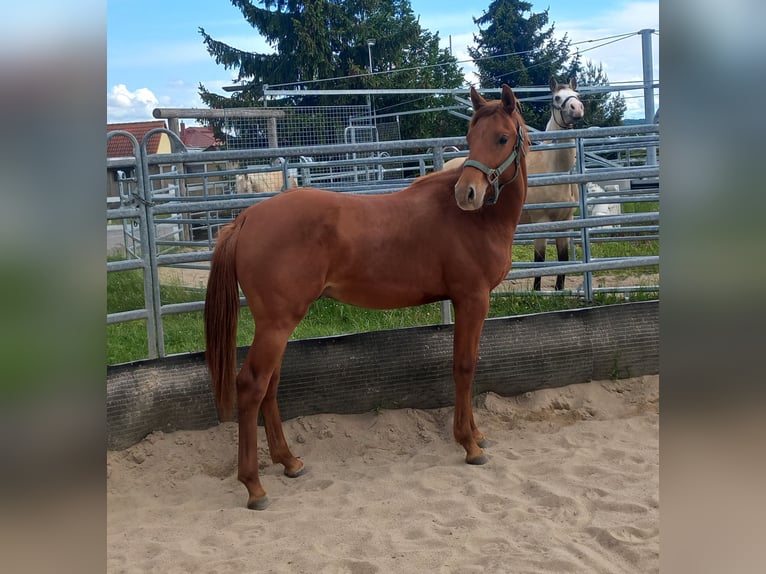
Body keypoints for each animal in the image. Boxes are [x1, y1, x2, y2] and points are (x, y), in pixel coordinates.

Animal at [201, 83, 532, 510]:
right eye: (471, 138)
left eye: (502, 138)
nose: (467, 193)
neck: (477, 221)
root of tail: (246, 218)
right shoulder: (471, 300)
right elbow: (465, 367)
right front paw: (469, 445)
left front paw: (475, 435)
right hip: (276, 324)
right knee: (252, 386)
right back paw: (254, 486)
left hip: (276, 325)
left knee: (269, 386)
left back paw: (289, 461)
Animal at [440, 77, 584, 292]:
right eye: (557, 97)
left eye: (577, 95)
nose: (577, 109)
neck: (554, 168)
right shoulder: (540, 222)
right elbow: (539, 261)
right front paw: (537, 291)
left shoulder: (566, 222)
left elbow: (563, 260)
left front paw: (560, 290)